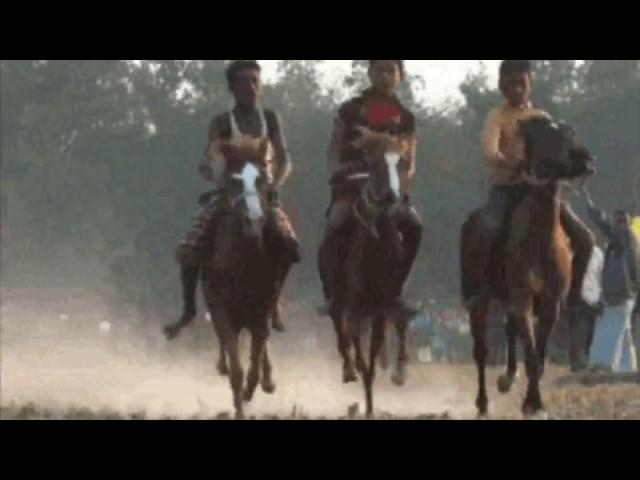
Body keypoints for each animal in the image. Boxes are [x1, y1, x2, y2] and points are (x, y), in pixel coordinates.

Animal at [460, 117, 596, 420]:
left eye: (569, 133)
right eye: (547, 136)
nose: (587, 159)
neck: (539, 242)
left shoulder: (550, 302)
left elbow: (539, 354)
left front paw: (533, 400)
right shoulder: (522, 298)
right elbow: (532, 355)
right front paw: (533, 403)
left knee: (510, 331)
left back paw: (508, 378)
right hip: (479, 299)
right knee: (481, 350)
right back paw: (482, 403)